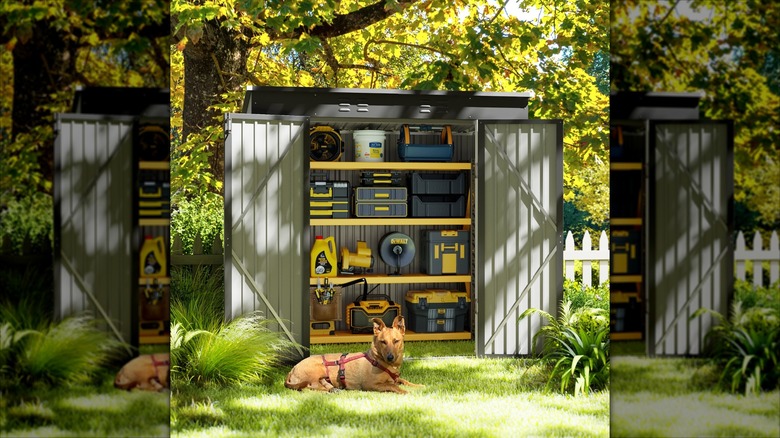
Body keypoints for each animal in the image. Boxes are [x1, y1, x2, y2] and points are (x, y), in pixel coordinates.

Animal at [284, 314, 420, 394]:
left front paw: (419, 385)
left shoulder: (396, 378)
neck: (378, 359)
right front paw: (406, 392)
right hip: (316, 371)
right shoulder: (371, 385)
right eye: (383, 342)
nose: (390, 357)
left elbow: (403, 380)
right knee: (308, 387)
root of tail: (292, 369)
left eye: (396, 341)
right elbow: (393, 386)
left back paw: (332, 388)